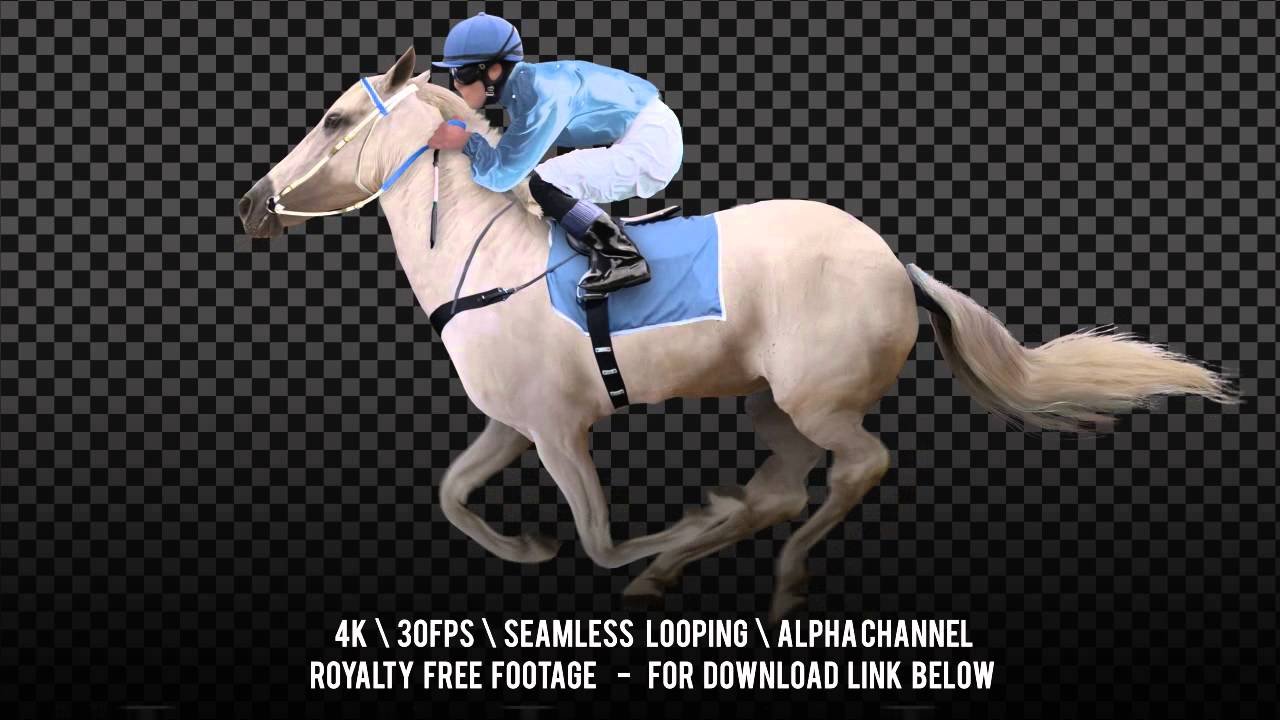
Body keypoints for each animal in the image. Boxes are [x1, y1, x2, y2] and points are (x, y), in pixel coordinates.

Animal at [237, 48, 1236, 621]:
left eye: (333, 119)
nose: (250, 206)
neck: (485, 257)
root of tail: (895, 261)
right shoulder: (512, 424)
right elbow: (452, 495)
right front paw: (528, 550)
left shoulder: (560, 429)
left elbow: (600, 539)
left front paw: (675, 528)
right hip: (771, 407)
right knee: (787, 488)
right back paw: (726, 547)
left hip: (817, 399)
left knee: (856, 468)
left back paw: (777, 573)